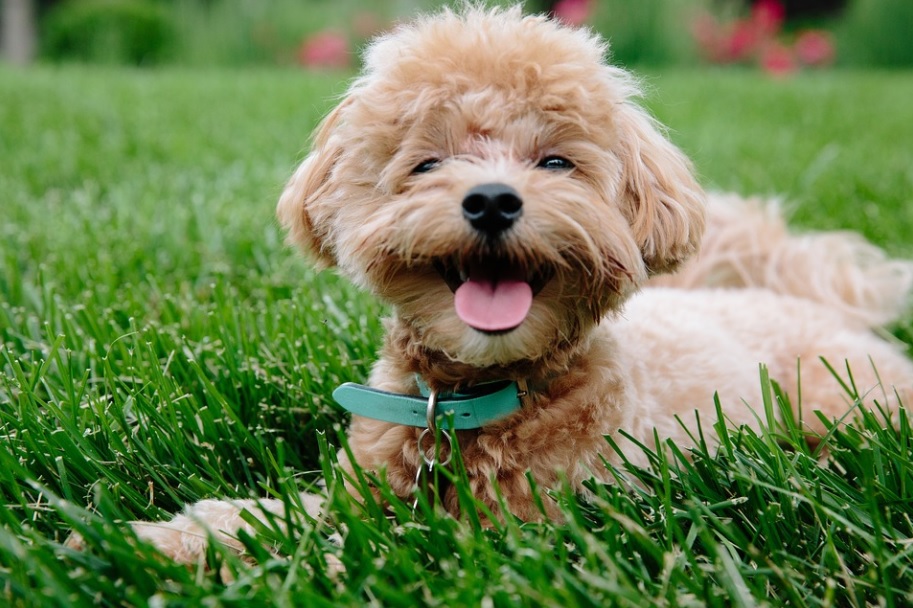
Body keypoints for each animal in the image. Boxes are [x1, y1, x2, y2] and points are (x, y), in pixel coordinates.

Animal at [75, 5, 908, 564]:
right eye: (426, 163)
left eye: (555, 162)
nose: (491, 200)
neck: (467, 400)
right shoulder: (360, 493)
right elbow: (274, 516)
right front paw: (157, 540)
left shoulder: (521, 532)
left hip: (848, 397)